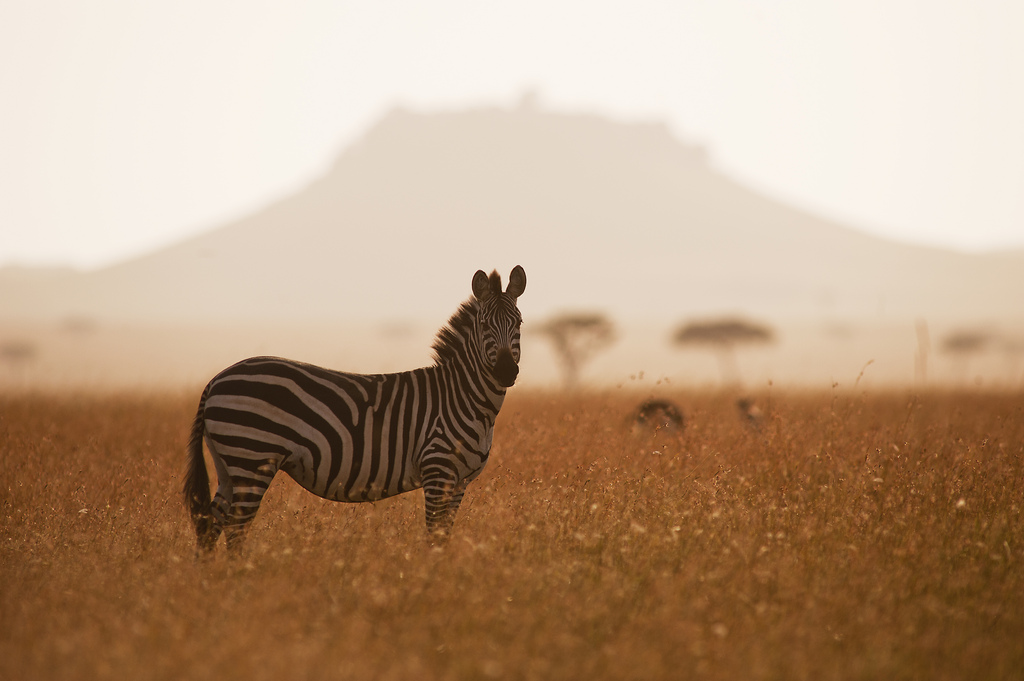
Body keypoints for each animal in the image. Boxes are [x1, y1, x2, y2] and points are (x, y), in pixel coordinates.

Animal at [183, 265, 526, 554]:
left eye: (519, 323)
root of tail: (215, 379)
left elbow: (444, 538)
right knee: (235, 530)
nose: (506, 371)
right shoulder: (437, 470)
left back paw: (209, 584)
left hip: (231, 463)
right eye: (484, 325)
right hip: (252, 456)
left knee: (210, 526)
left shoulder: (460, 482)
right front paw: (431, 581)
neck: (464, 397)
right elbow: (433, 538)